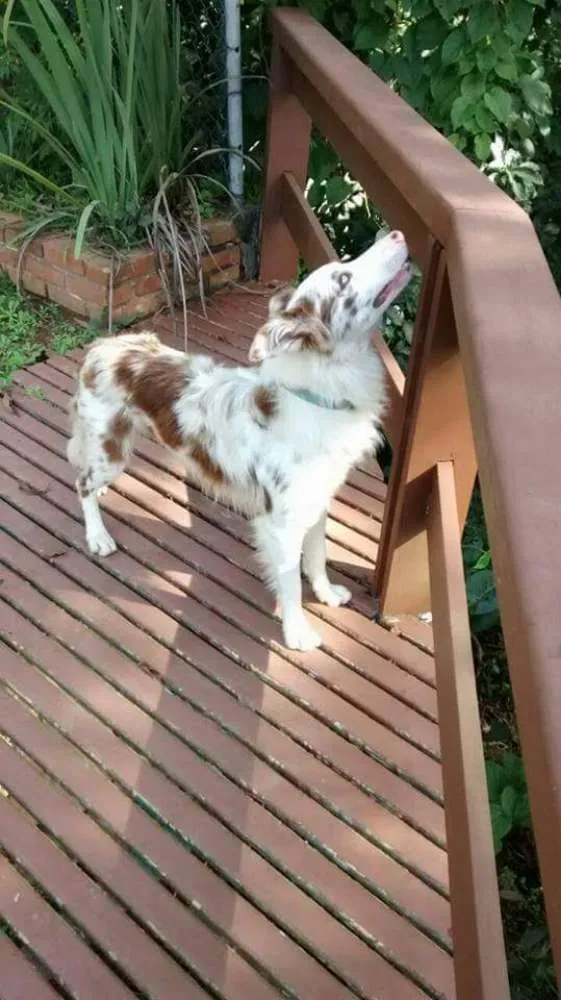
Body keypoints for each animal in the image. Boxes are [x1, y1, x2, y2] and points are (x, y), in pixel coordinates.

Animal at [68, 229, 410, 648]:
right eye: (343, 278)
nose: (395, 233)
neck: (320, 392)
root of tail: (104, 346)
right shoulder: (281, 521)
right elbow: (291, 582)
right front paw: (297, 634)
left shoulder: (317, 502)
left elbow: (317, 556)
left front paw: (328, 595)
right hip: (111, 448)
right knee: (82, 483)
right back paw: (98, 536)